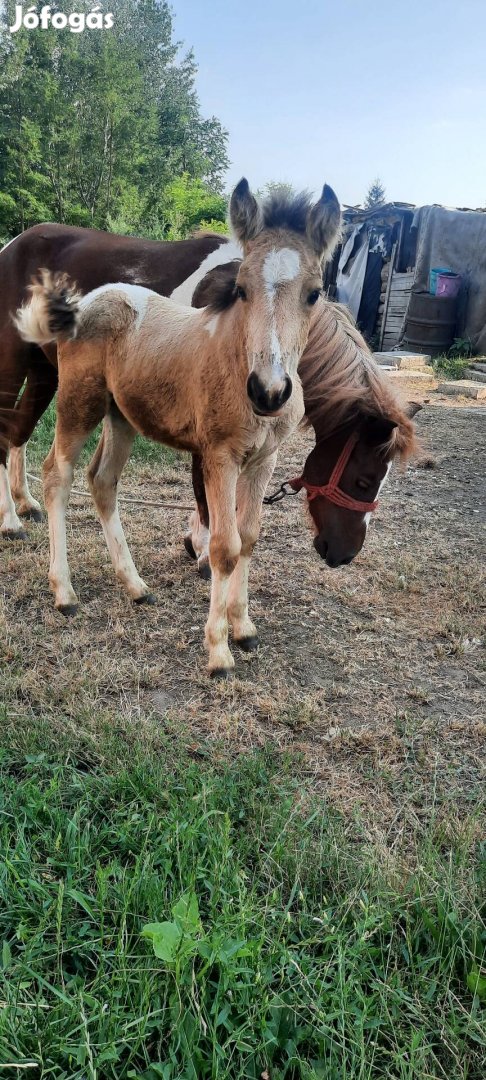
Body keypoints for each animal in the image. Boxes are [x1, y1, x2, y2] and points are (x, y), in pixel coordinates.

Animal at [15, 183, 341, 673]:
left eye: (314, 293)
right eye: (241, 289)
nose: (268, 391)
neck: (236, 357)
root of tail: (89, 301)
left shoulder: (264, 460)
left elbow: (248, 538)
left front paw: (244, 628)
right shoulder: (220, 456)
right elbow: (223, 546)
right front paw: (218, 650)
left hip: (121, 417)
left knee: (102, 481)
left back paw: (135, 586)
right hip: (79, 400)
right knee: (58, 473)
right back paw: (64, 592)